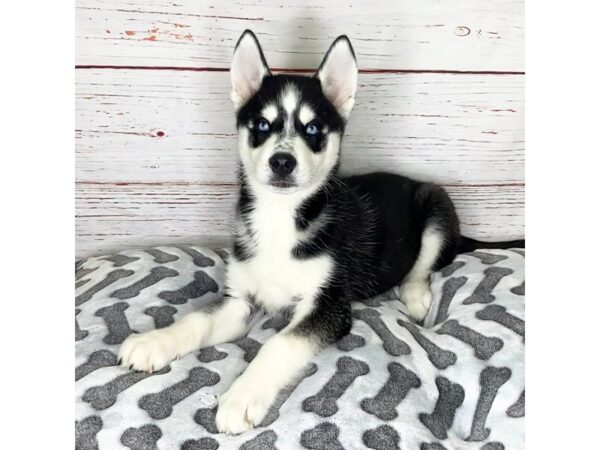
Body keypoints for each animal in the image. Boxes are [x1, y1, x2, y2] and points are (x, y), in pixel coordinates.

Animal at [118, 30, 524, 432]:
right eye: (261, 126)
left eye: (312, 129)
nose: (282, 161)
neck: (281, 217)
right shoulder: (242, 300)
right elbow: (197, 319)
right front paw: (155, 341)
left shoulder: (328, 305)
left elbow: (279, 345)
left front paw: (242, 396)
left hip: (436, 206)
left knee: (423, 266)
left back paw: (415, 295)